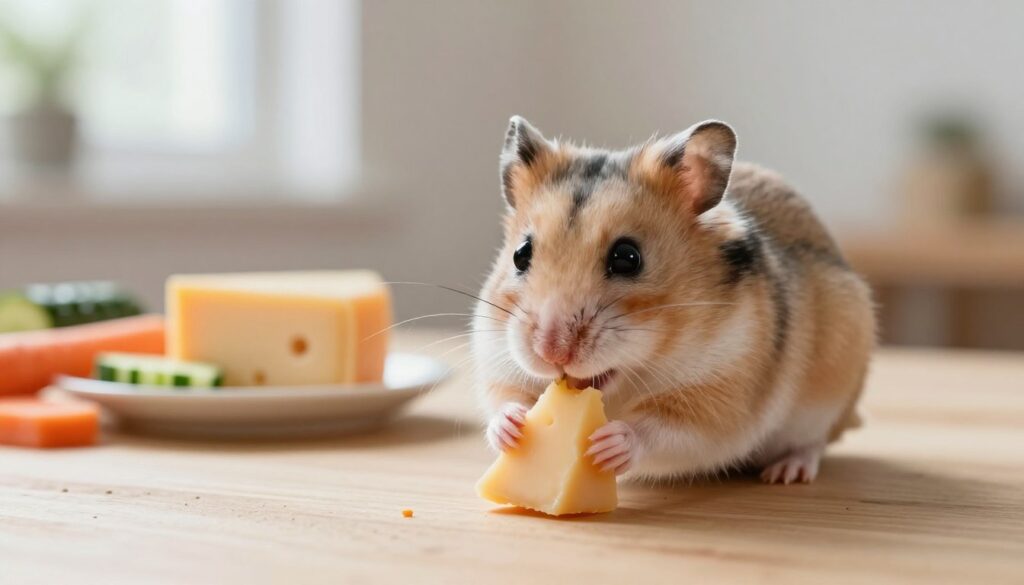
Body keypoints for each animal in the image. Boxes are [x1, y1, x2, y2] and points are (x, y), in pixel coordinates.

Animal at [472, 116, 875, 484]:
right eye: (520, 254)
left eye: (627, 257)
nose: (551, 352)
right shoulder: (496, 360)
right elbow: (504, 398)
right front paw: (513, 427)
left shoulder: (718, 396)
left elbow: (664, 430)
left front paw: (609, 444)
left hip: (827, 398)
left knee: (814, 443)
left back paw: (786, 473)